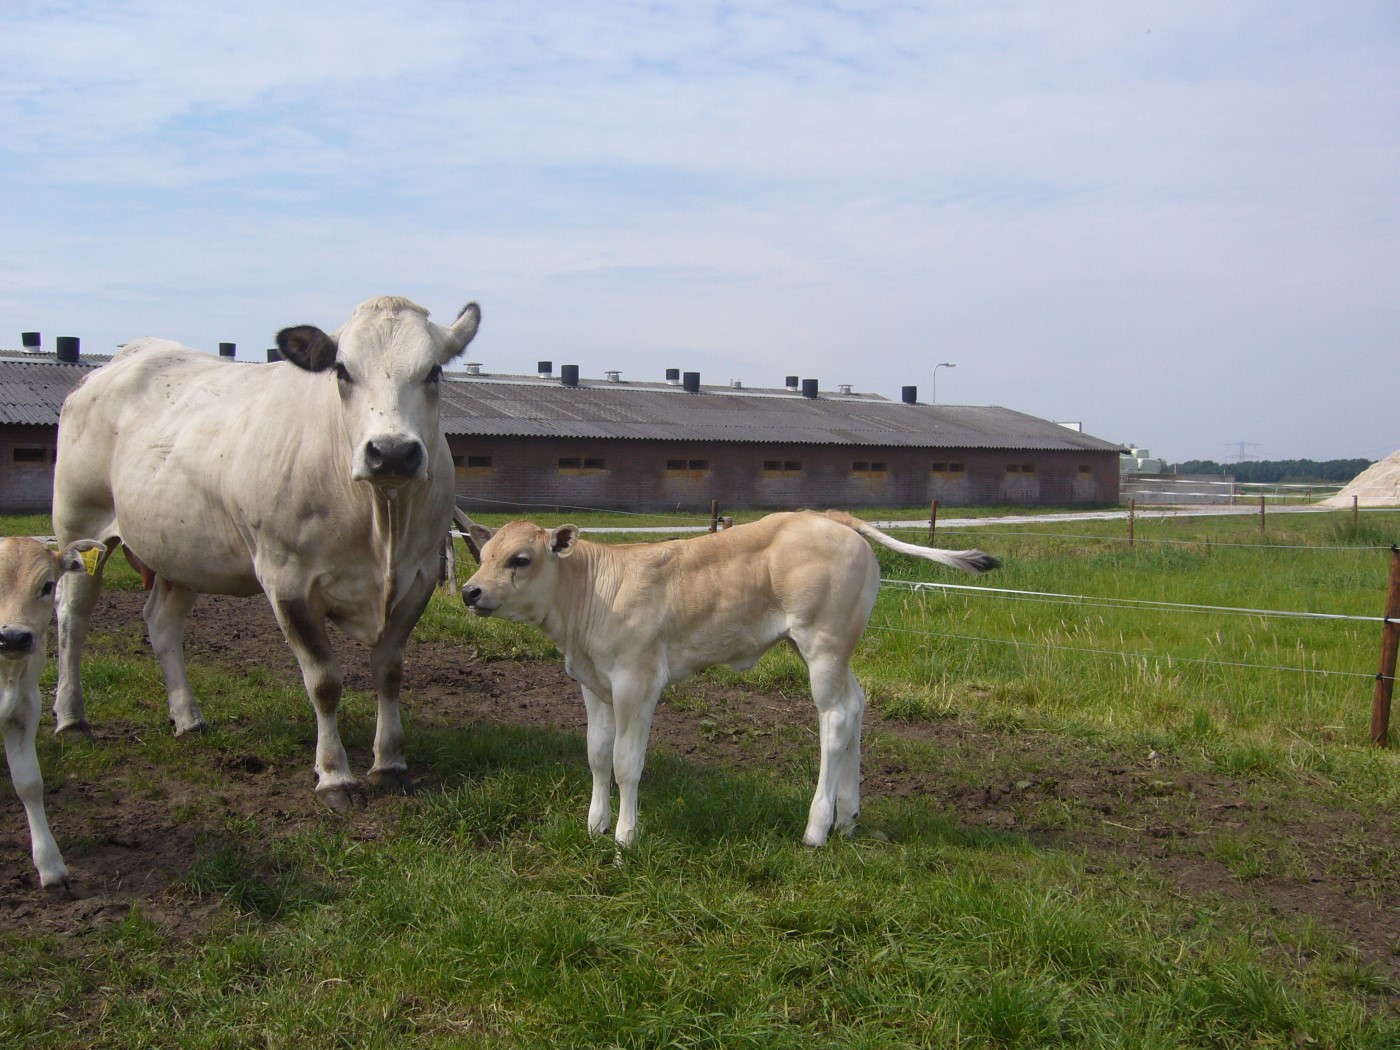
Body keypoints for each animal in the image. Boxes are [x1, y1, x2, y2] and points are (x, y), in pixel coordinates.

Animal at [51, 296, 481, 812]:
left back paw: (188, 718)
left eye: (434, 371)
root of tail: (121, 359)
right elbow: (324, 681)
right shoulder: (288, 581)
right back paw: (72, 720)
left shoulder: (417, 578)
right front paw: (334, 774)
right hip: (80, 527)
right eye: (342, 370)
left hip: (182, 552)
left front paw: (391, 764)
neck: (382, 527)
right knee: (72, 618)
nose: (392, 452)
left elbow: (390, 672)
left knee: (161, 623)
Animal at [459, 509, 996, 845]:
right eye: (482, 556)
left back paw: (817, 828)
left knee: (837, 719)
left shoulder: (637, 682)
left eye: (521, 559)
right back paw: (848, 817)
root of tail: (825, 517)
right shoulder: (594, 684)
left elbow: (625, 762)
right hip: (829, 652)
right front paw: (595, 826)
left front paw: (625, 838)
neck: (590, 592)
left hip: (823, 646)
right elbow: (595, 755)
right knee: (858, 706)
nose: (469, 591)